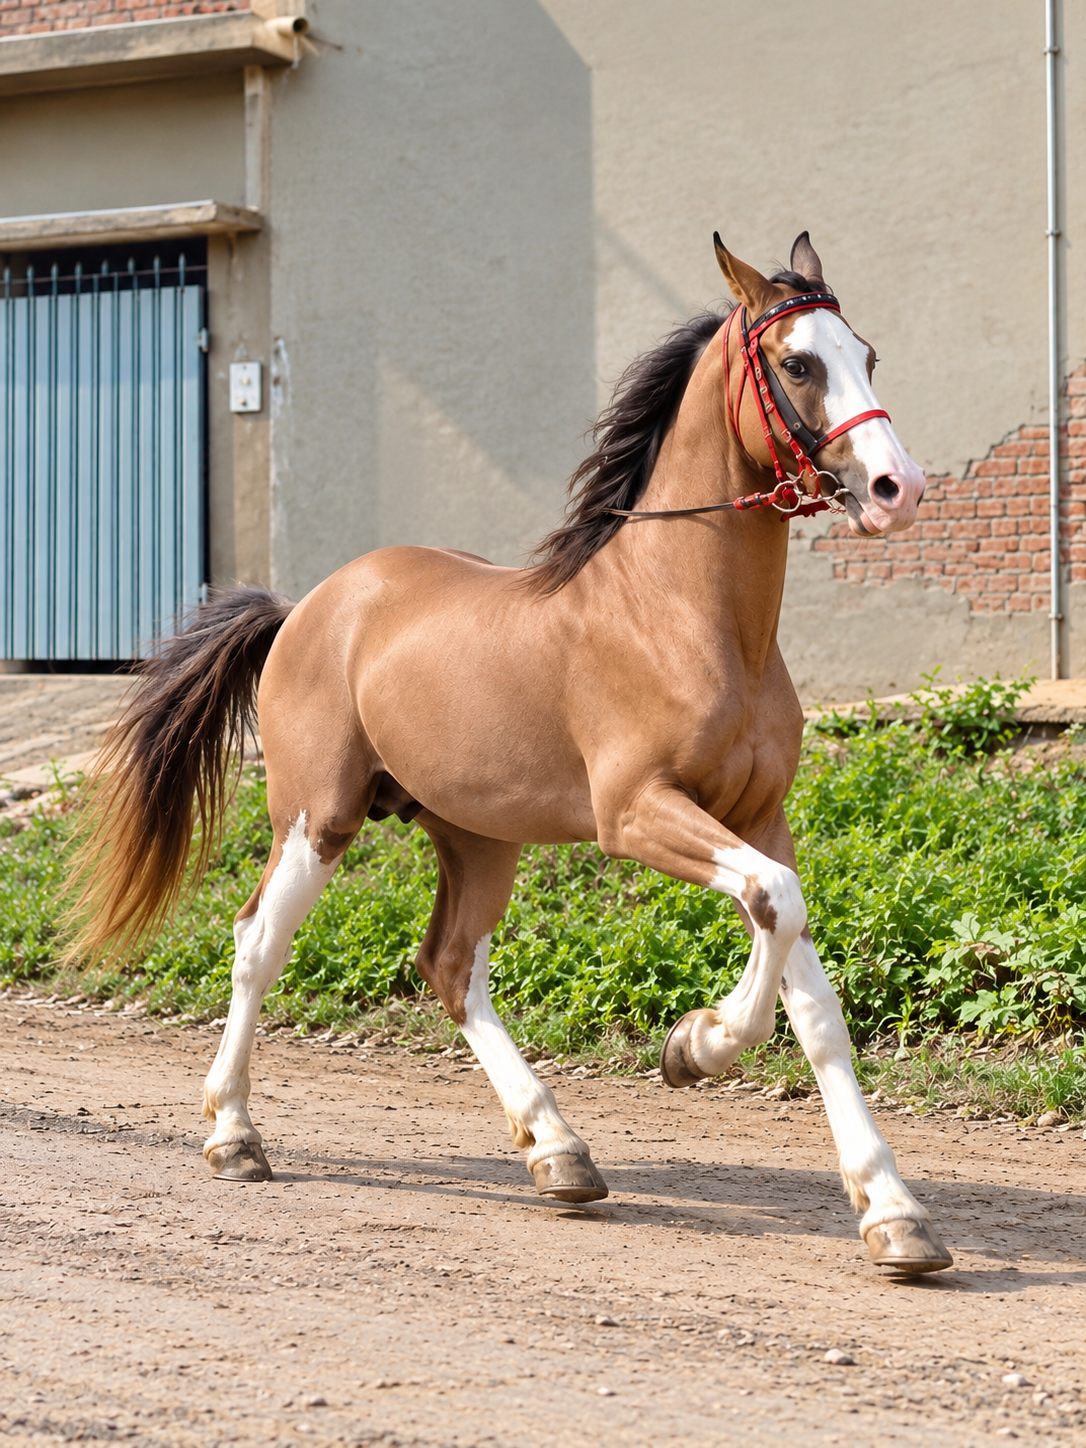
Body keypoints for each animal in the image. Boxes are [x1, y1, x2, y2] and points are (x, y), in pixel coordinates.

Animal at [68, 232, 952, 1274]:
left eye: (869, 356)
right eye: (797, 363)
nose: (898, 489)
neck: (686, 617)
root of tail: (306, 606)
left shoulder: (758, 819)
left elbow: (811, 992)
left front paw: (893, 1212)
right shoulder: (638, 813)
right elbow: (775, 908)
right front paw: (694, 1046)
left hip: (479, 839)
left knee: (449, 965)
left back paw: (559, 1153)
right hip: (317, 818)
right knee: (258, 944)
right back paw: (234, 1137)